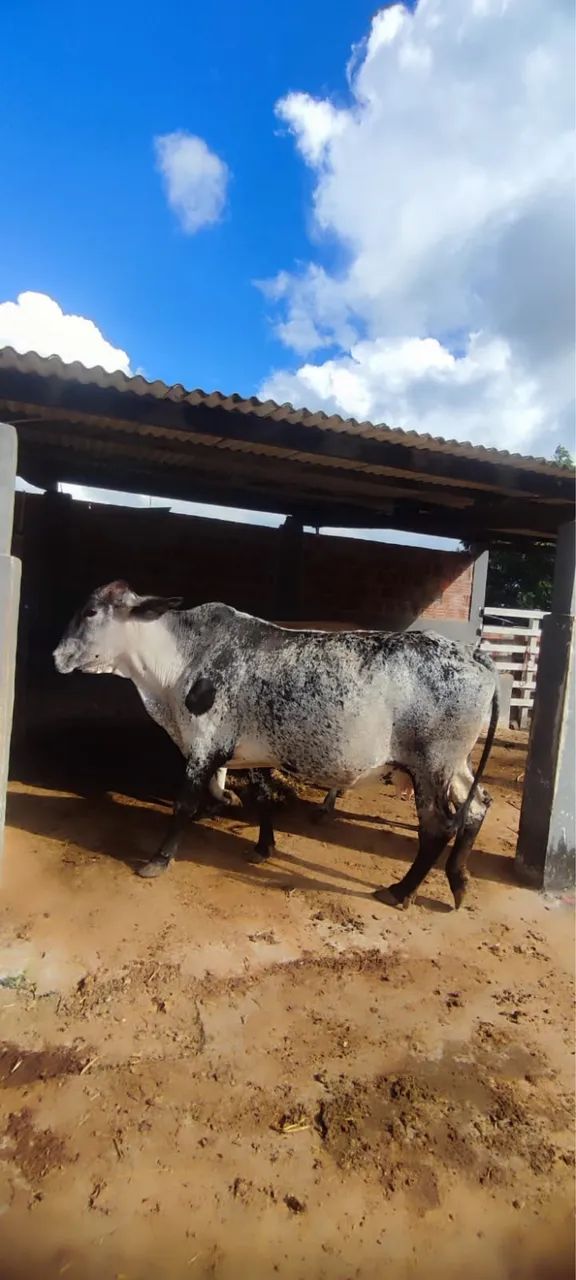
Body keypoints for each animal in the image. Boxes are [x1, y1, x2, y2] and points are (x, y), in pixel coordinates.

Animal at [53, 581, 499, 910]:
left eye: (91, 612)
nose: (57, 655)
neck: (179, 660)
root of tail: (474, 655)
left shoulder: (202, 747)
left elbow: (184, 804)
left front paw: (158, 859)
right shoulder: (251, 749)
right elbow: (262, 798)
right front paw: (261, 845)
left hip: (431, 766)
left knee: (437, 827)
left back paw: (401, 891)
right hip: (456, 765)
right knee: (477, 807)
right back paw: (458, 880)